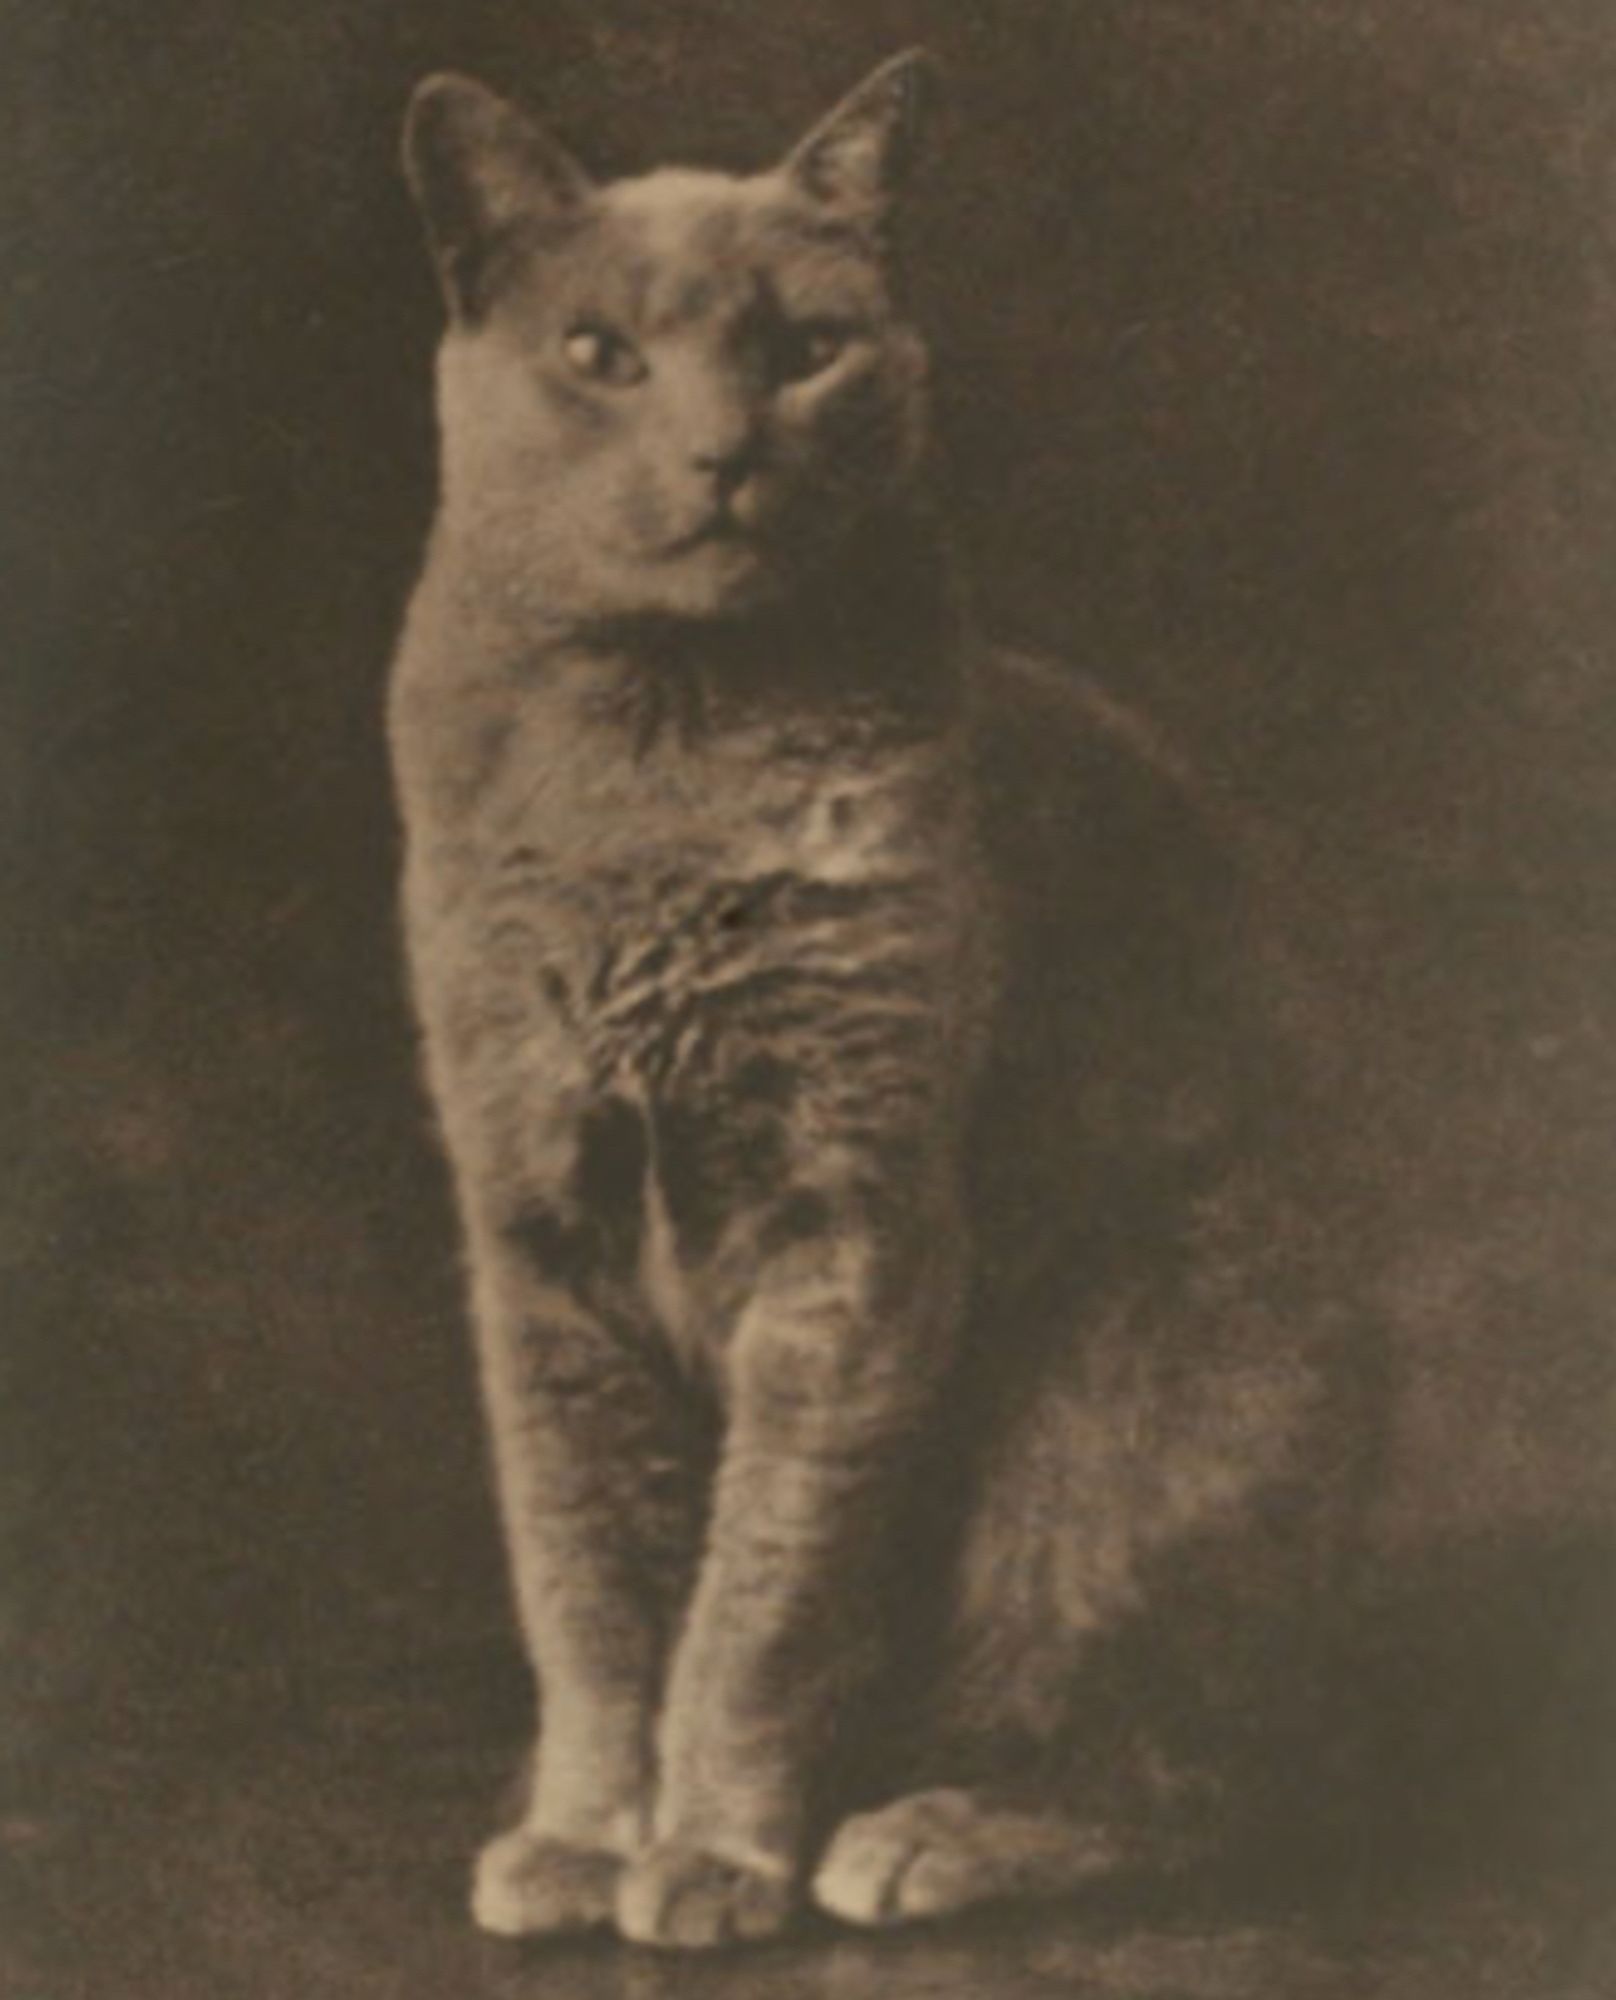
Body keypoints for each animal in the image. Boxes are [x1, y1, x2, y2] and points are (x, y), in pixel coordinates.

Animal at [388, 50, 1376, 1952]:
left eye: (805, 349)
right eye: (598, 353)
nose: (724, 449)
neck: (662, 766)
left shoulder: (852, 1227)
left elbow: (756, 1604)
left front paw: (709, 1853)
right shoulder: (533, 1238)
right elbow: (590, 1586)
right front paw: (580, 1831)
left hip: (1112, 1425)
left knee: (1193, 1773)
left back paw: (928, 1835)